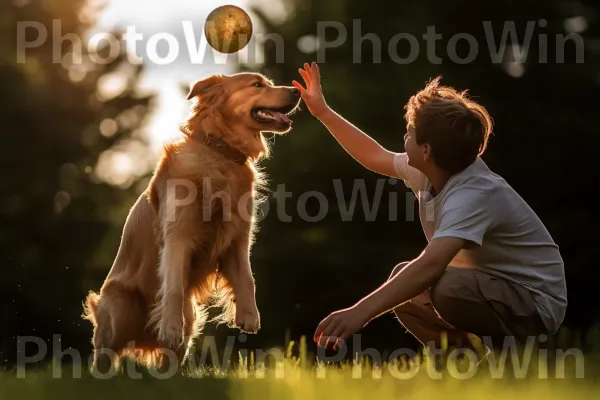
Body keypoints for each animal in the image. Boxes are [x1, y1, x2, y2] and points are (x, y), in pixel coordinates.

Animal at [83, 71, 300, 372]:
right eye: (257, 85)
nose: (297, 91)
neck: (220, 153)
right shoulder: (178, 237)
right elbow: (173, 287)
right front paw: (170, 328)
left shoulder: (237, 238)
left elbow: (247, 277)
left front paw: (248, 316)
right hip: (119, 309)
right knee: (105, 350)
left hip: (192, 316)